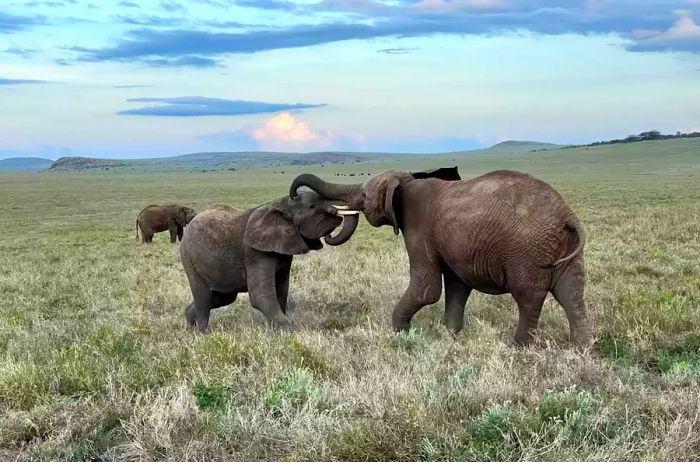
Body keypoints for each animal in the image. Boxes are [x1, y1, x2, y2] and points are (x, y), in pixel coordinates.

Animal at [178, 192, 364, 332]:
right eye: (312, 206)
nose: (330, 234)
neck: (282, 204)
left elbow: (281, 290)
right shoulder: (255, 251)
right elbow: (260, 295)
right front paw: (291, 331)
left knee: (222, 297)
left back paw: (189, 321)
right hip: (188, 258)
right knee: (203, 296)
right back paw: (202, 333)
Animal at [288, 168, 592, 348]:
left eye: (363, 194)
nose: (294, 195)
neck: (406, 182)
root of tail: (567, 215)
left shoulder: (418, 229)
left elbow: (427, 288)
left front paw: (401, 333)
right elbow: (457, 285)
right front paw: (451, 335)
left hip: (527, 249)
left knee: (528, 295)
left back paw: (519, 347)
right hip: (563, 248)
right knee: (571, 293)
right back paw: (581, 348)